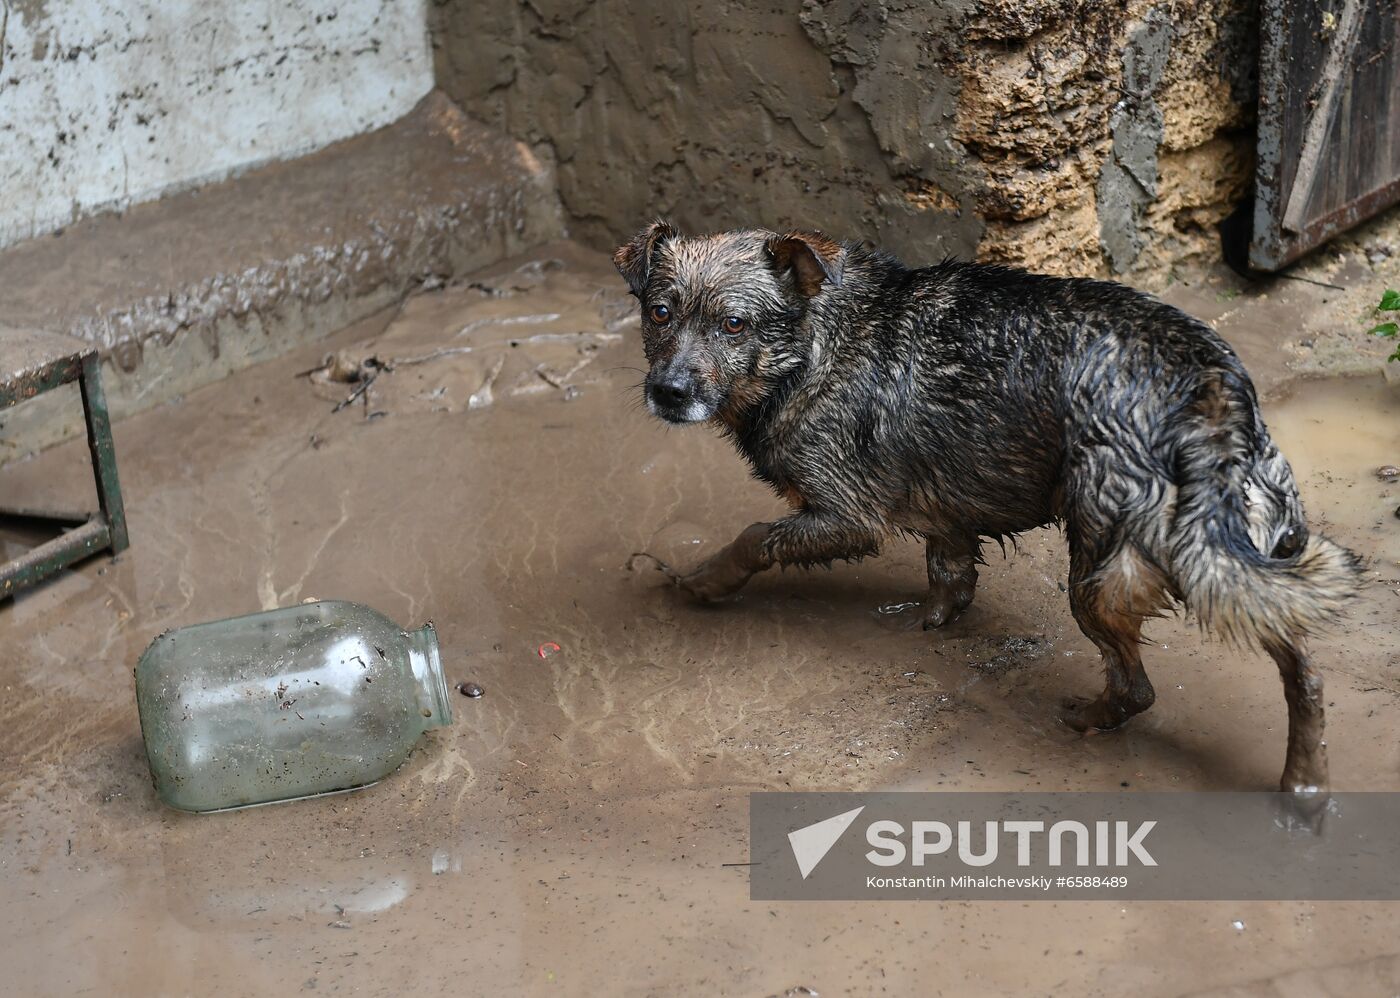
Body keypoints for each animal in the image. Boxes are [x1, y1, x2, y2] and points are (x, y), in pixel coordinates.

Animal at [613, 219, 1355, 795]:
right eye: (659, 313)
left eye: (734, 323)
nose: (668, 391)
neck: (810, 343)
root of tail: (1206, 379)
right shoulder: (947, 513)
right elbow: (950, 574)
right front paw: (937, 619)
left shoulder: (847, 514)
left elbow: (753, 535)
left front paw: (701, 582)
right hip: (1238, 555)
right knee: (1306, 671)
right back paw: (1305, 780)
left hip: (1103, 572)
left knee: (1138, 688)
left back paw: (1087, 720)